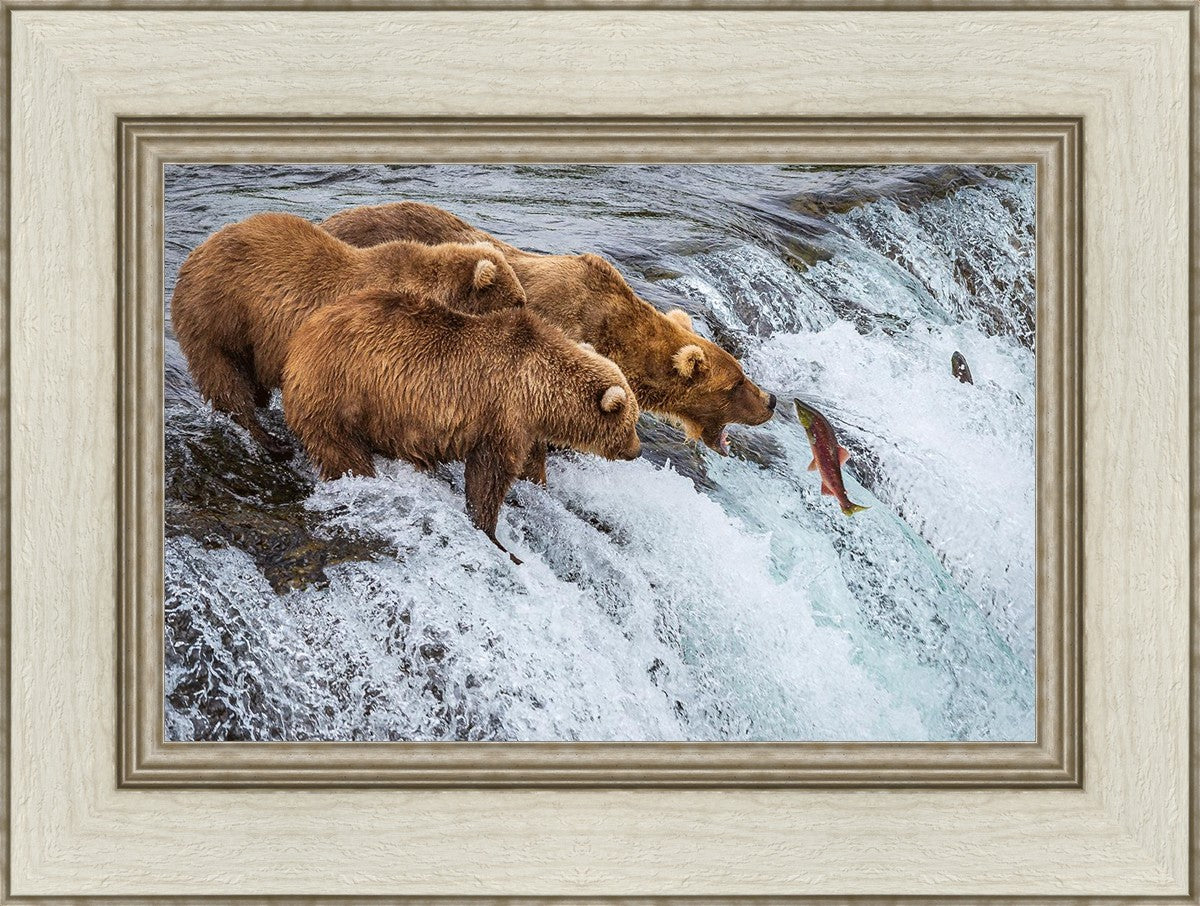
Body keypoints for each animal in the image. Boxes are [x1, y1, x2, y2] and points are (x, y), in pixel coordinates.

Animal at [170, 211, 526, 460]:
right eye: (518, 301)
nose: (527, 314)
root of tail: (195, 254)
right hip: (220, 316)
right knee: (225, 379)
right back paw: (270, 441)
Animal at [281, 286, 642, 563]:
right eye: (631, 422)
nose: (637, 450)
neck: (540, 390)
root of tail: (302, 337)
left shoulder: (525, 426)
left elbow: (529, 465)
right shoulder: (502, 413)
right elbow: (489, 476)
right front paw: (497, 538)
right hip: (340, 394)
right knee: (342, 452)